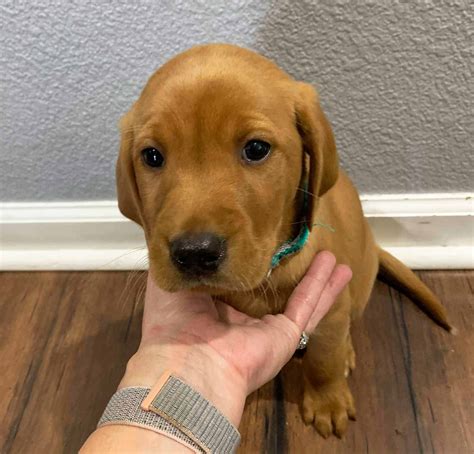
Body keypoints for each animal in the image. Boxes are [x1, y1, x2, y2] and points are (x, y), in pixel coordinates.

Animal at [116, 44, 452, 438]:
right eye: (152, 156)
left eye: (256, 149)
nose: (195, 253)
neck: (269, 269)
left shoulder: (332, 305)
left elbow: (324, 358)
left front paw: (327, 400)